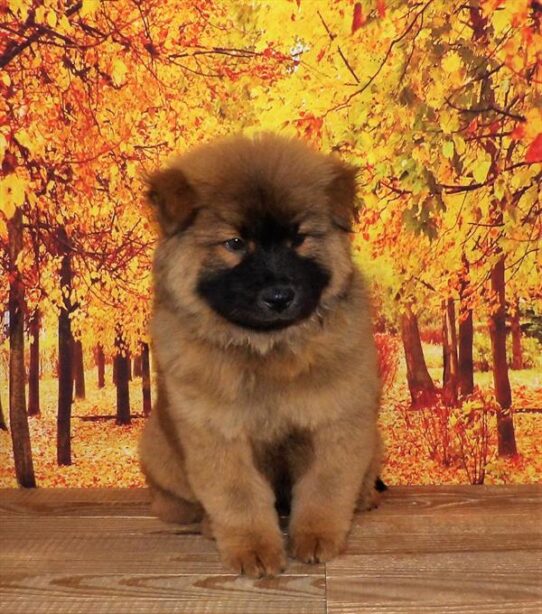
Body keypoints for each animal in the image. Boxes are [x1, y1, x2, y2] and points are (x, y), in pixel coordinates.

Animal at [141, 132, 386, 580]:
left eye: (300, 239)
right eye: (235, 243)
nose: (279, 295)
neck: (267, 349)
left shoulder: (337, 420)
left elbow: (325, 487)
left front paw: (317, 538)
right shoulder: (218, 434)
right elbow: (239, 497)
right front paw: (253, 550)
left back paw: (365, 500)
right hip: (157, 449)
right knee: (175, 503)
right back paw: (205, 524)